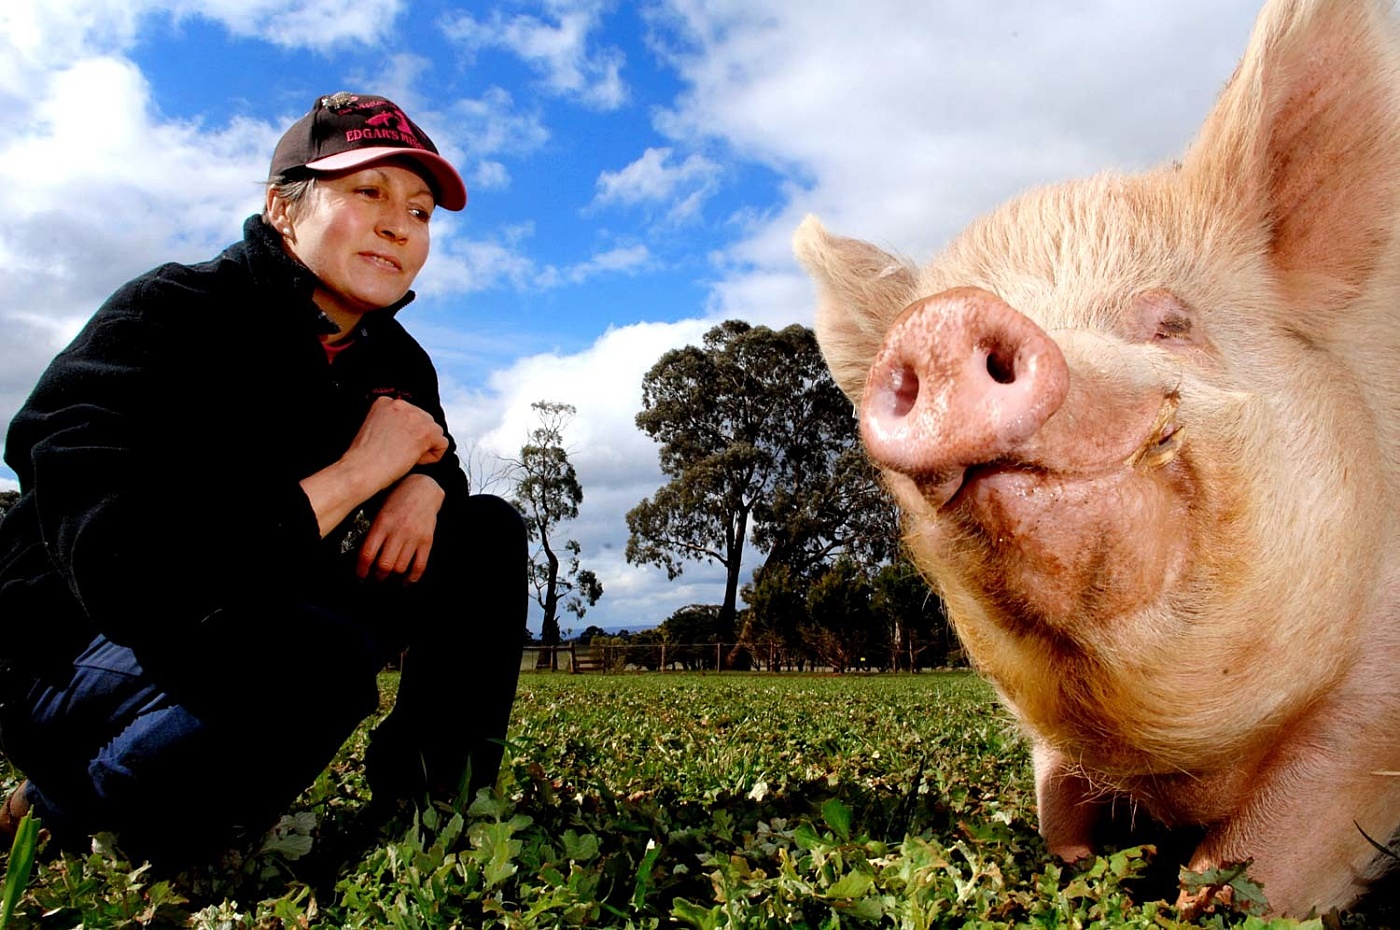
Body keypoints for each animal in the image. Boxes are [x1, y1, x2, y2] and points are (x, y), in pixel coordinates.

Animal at [794, 0, 1400, 917]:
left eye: (1173, 323)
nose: (943, 318)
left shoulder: (1370, 712)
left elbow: (1268, 847)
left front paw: (1194, 900)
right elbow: (1057, 812)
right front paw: (1079, 868)